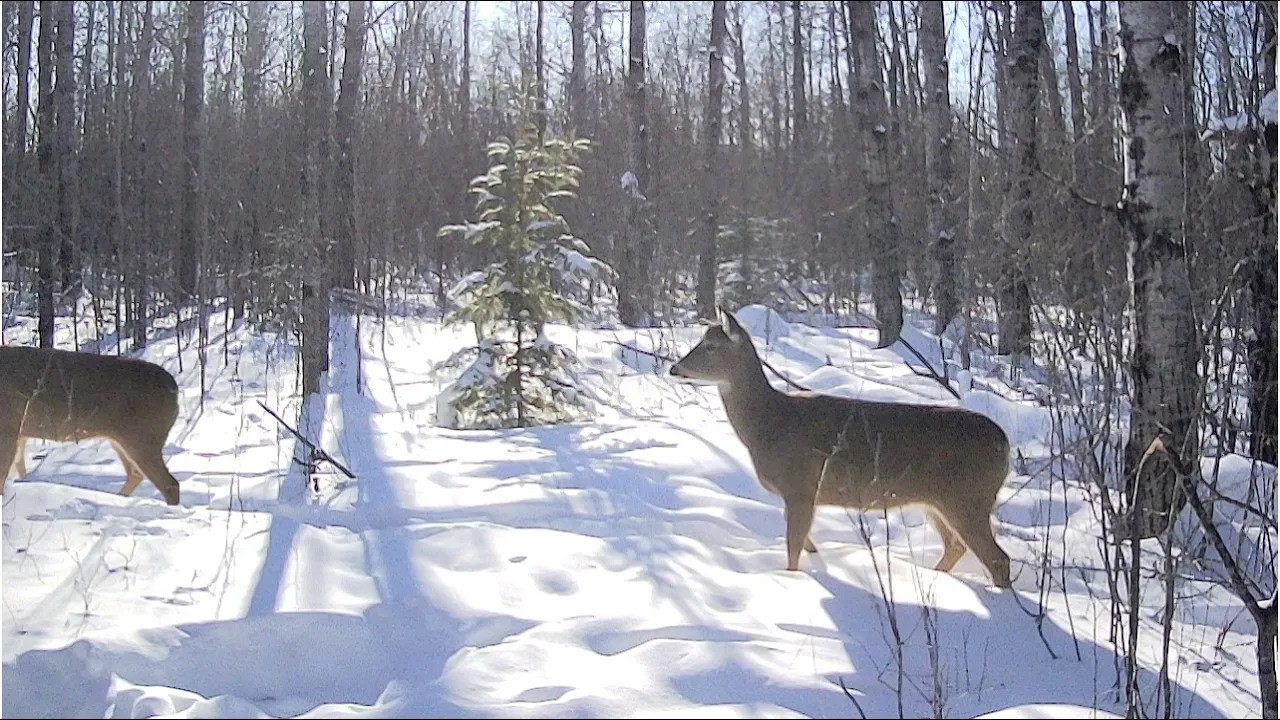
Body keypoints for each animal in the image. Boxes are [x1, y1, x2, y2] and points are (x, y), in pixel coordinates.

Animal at [1, 345, 183, 505]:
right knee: (136, 473)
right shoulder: (19, 434)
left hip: (144, 436)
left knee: (169, 484)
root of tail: (174, 389)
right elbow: (19, 470)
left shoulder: (8, 428)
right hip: (122, 439)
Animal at [669, 307, 1013, 588]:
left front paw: (793, 581)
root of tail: (1005, 445)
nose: (675, 369)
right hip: (936, 501)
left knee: (997, 558)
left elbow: (793, 550)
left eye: (711, 346)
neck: (767, 425)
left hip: (967, 498)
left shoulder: (800, 487)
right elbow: (807, 544)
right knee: (956, 546)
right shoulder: (802, 496)